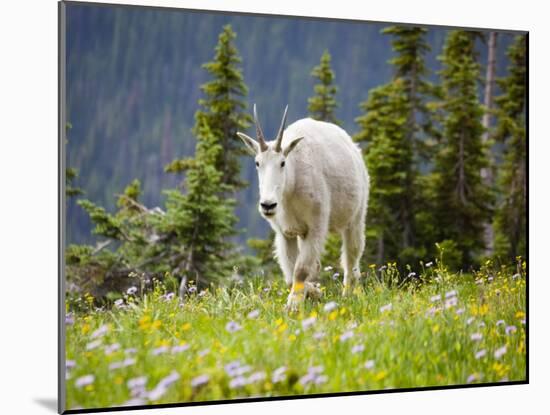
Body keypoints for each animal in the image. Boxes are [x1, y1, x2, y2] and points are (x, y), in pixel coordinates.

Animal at [237, 105, 370, 310]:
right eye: (257, 163)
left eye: (282, 163)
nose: (268, 205)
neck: (290, 188)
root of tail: (353, 147)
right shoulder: (285, 233)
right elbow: (291, 274)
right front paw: (313, 293)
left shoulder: (316, 226)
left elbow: (300, 269)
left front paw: (293, 305)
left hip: (356, 217)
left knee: (351, 258)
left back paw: (348, 295)